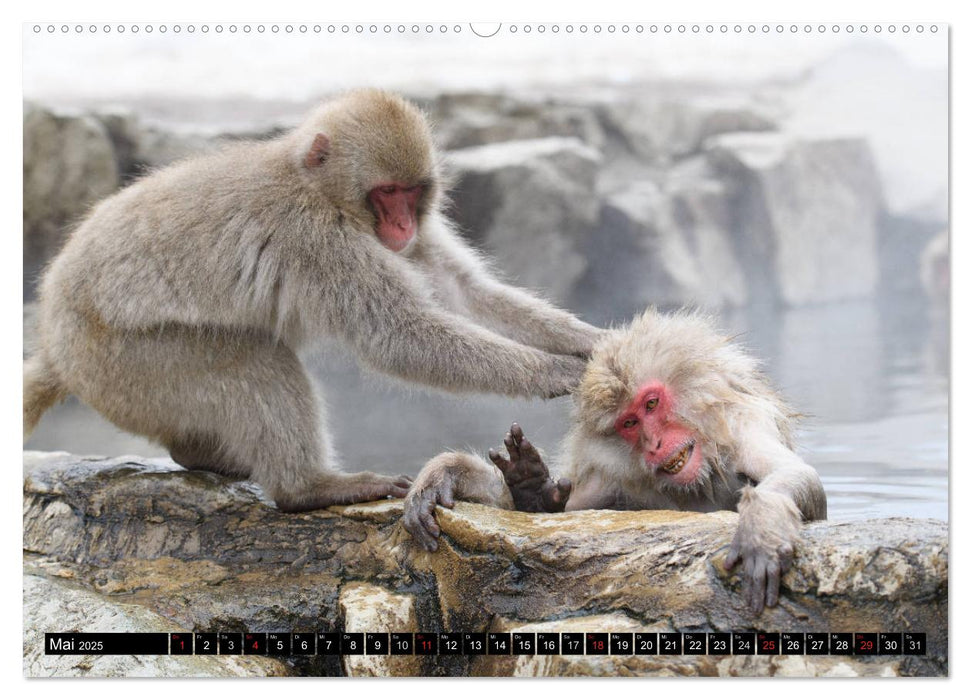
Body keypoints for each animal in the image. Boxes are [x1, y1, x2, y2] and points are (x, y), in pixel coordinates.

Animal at [22, 90, 604, 512]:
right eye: (386, 193)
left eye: (412, 192)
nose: (402, 226)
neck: (318, 187)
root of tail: (55, 344)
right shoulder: (314, 238)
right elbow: (398, 335)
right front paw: (557, 372)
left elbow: (462, 290)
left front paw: (595, 341)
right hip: (124, 363)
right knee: (254, 360)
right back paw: (307, 489)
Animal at [402, 310, 828, 612]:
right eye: (629, 423)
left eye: (652, 403)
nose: (654, 444)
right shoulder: (614, 478)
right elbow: (556, 509)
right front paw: (475, 476)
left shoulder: (745, 425)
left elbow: (794, 475)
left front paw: (763, 527)